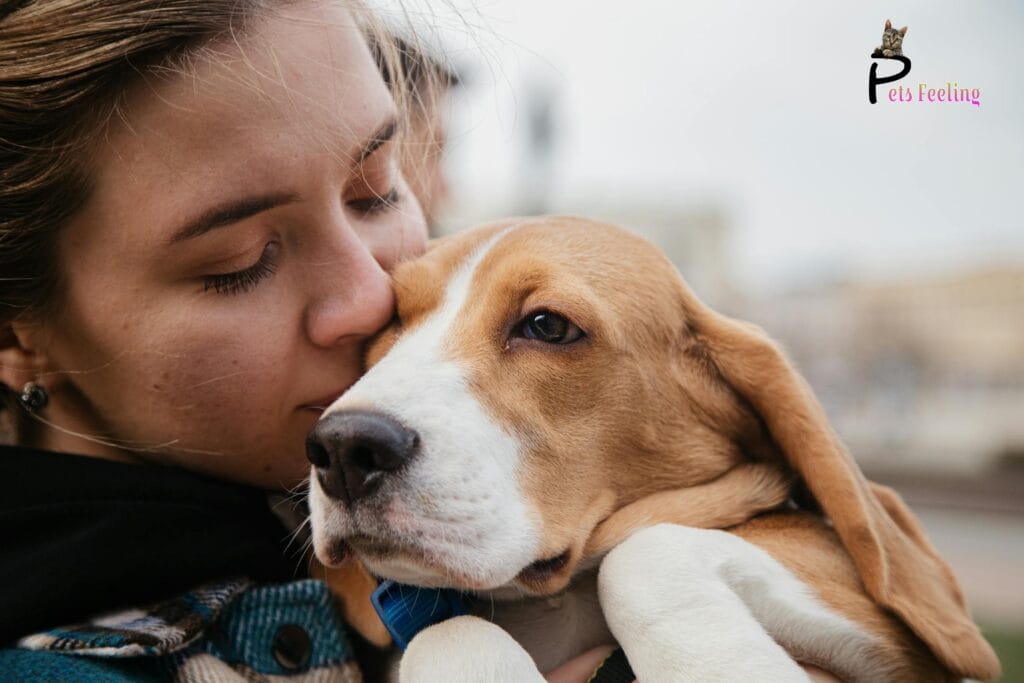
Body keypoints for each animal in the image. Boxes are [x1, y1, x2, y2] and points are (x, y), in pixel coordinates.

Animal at [309, 218, 999, 683]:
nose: (343, 447)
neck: (554, 602)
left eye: (547, 325)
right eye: (391, 322)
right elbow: (448, 631)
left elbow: (643, 552)